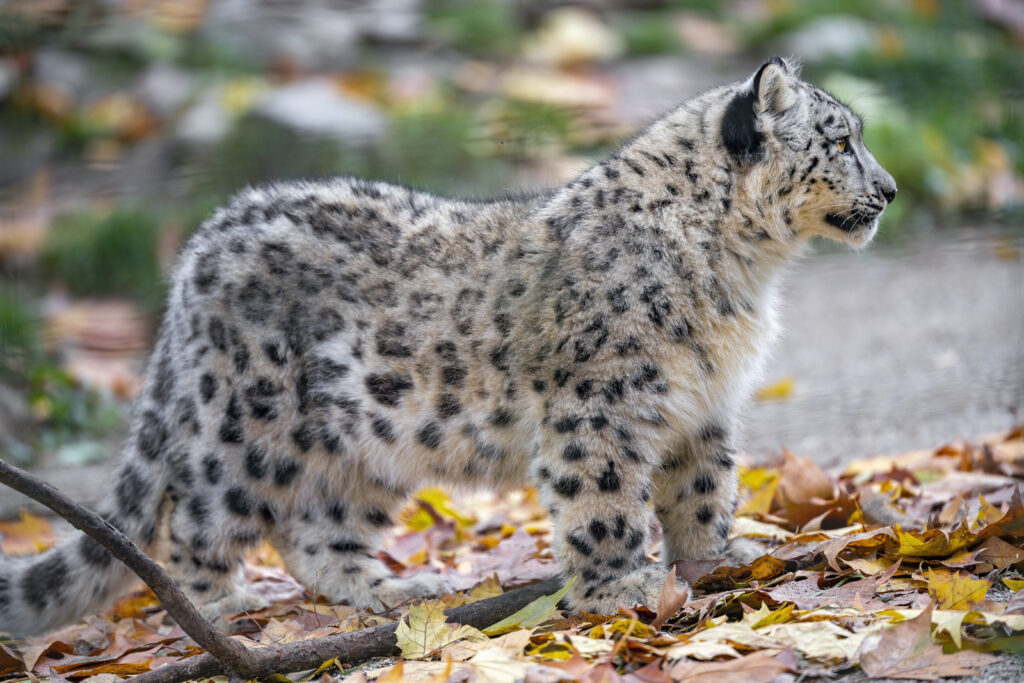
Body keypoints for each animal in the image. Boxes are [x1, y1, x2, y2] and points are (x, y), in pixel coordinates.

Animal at [0, 57, 895, 637]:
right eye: (840, 140)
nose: (888, 189)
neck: (746, 273)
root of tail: (201, 244)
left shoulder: (703, 403)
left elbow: (704, 489)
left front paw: (718, 559)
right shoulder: (600, 401)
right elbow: (604, 497)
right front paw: (619, 589)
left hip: (366, 444)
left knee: (318, 527)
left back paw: (388, 590)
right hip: (247, 428)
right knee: (197, 518)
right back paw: (219, 609)